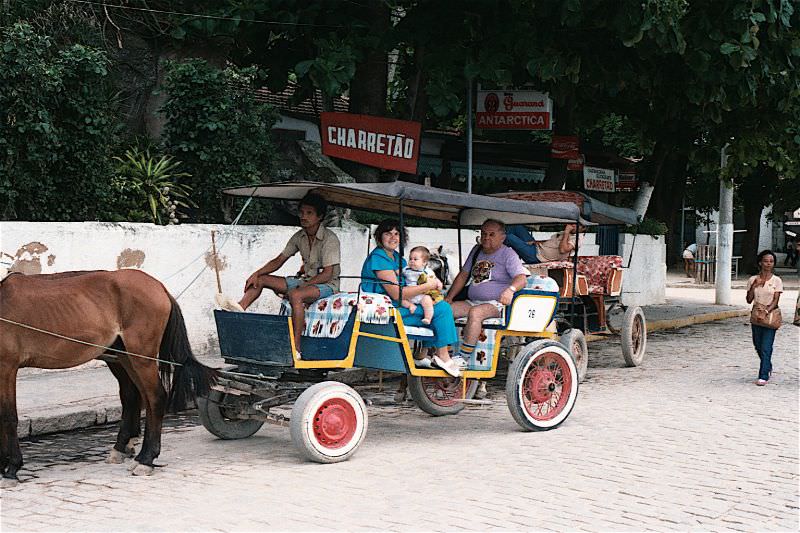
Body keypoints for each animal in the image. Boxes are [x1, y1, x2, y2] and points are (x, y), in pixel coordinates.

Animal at [0, 268, 219, 484]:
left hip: (141, 357)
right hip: (125, 357)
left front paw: (12, 468)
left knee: (155, 398)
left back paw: (146, 459)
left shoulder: (7, 367)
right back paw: (128, 450)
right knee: (139, 397)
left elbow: (8, 416)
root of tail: (158, 286)